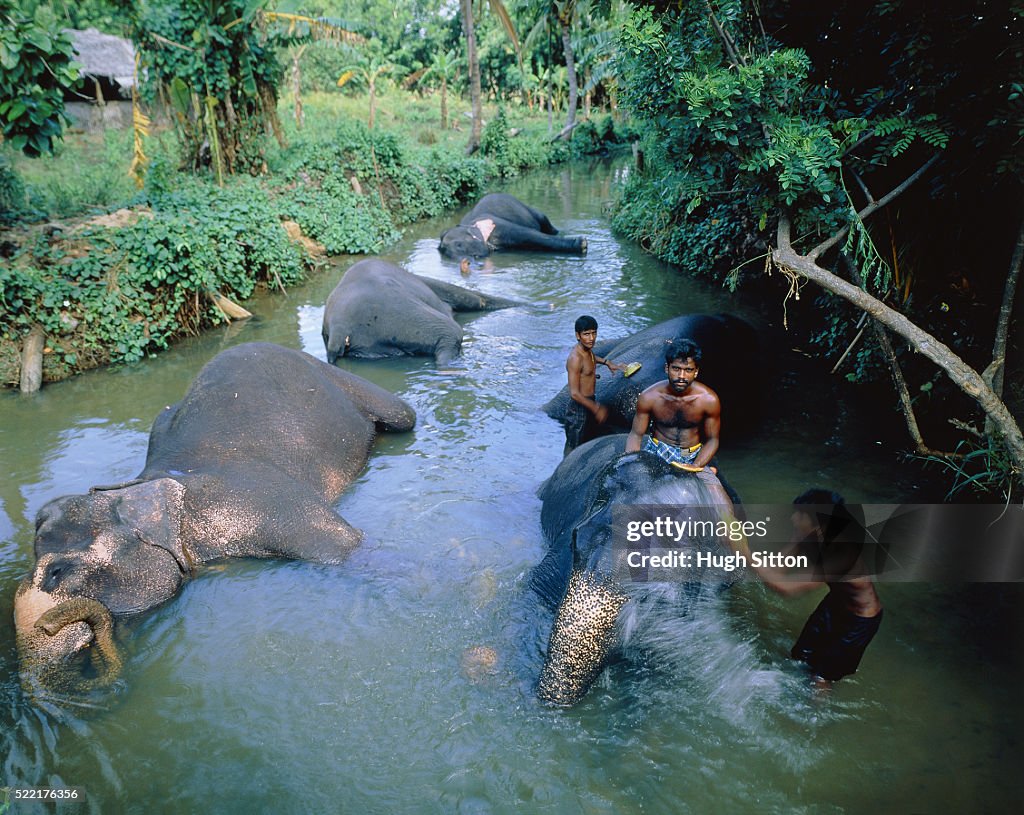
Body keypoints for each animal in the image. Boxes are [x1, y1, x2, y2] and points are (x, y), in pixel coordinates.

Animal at [14, 339, 413, 696]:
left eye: (56, 572)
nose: (48, 626)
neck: (144, 484)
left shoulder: (257, 499)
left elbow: (347, 547)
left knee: (404, 415)